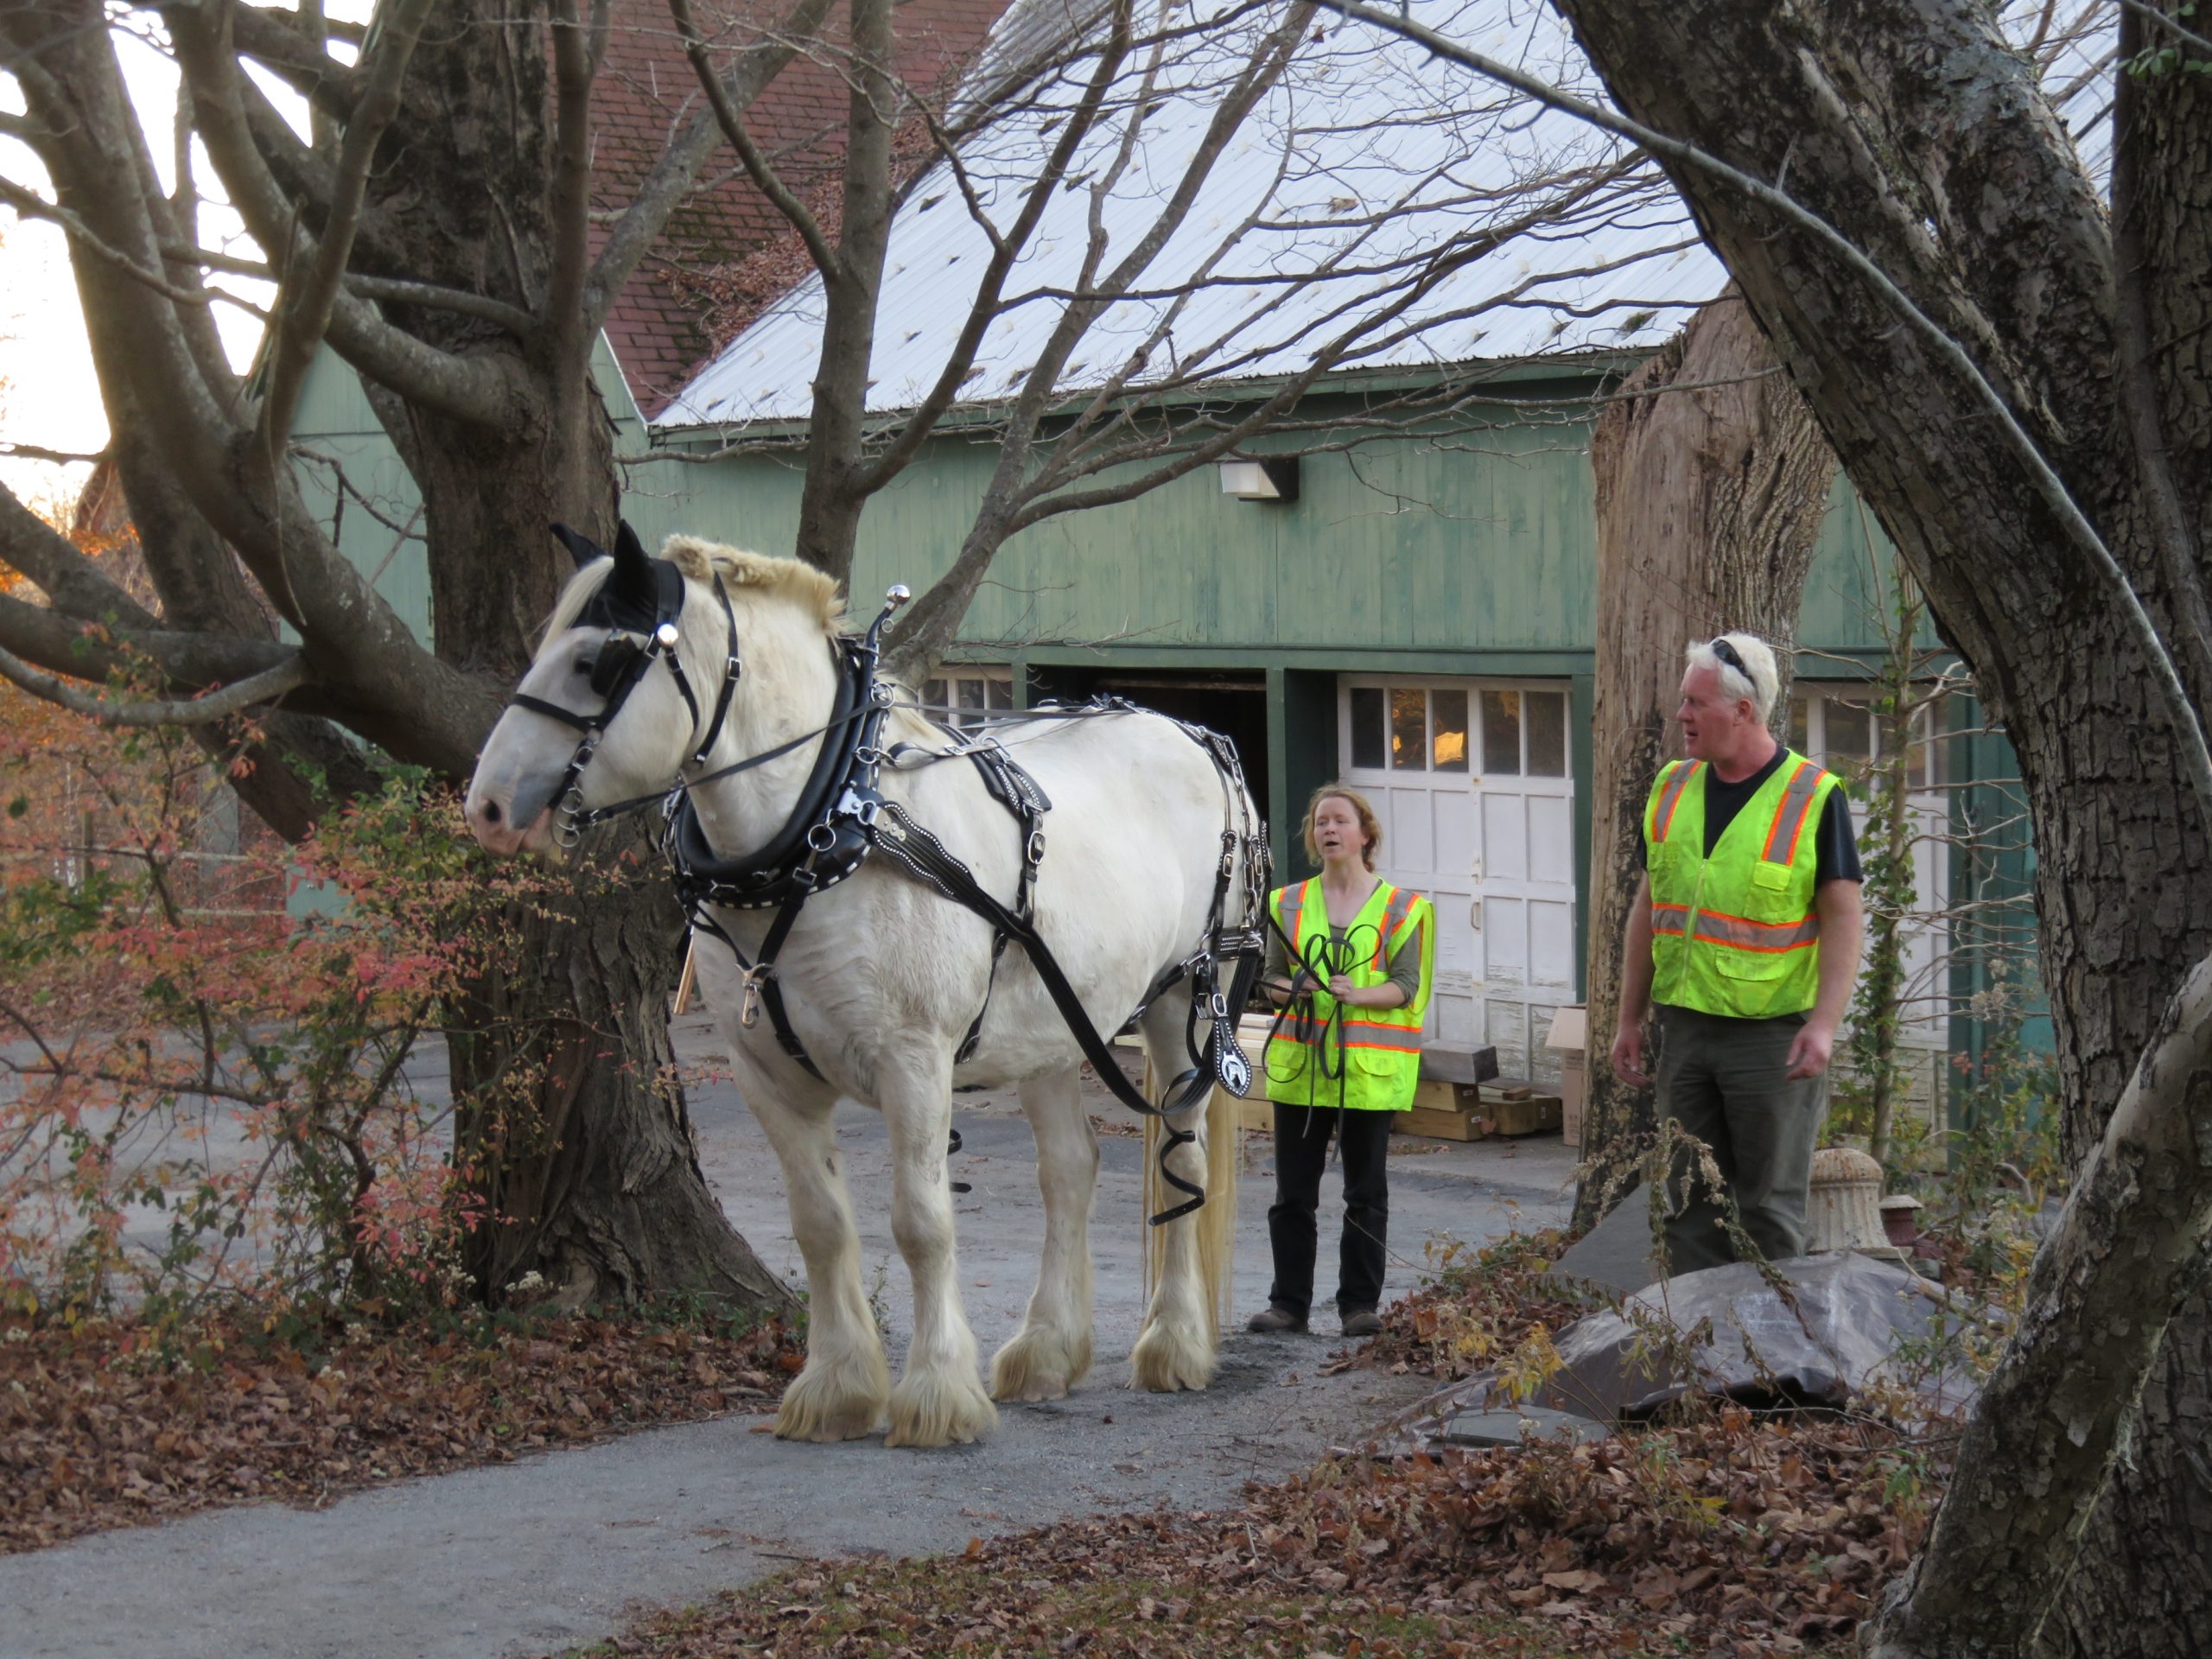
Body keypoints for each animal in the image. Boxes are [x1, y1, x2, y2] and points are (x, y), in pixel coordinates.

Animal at [462, 532, 1265, 1442]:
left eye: (597, 662)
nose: (486, 806)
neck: (826, 830)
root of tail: (1189, 732)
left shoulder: (913, 1062)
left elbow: (920, 1223)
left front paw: (936, 1394)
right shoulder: (767, 1076)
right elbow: (819, 1225)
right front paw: (837, 1387)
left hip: (1184, 1001)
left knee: (1182, 1158)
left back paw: (1175, 1344)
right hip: (1059, 1023)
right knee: (1069, 1168)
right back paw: (1046, 1351)